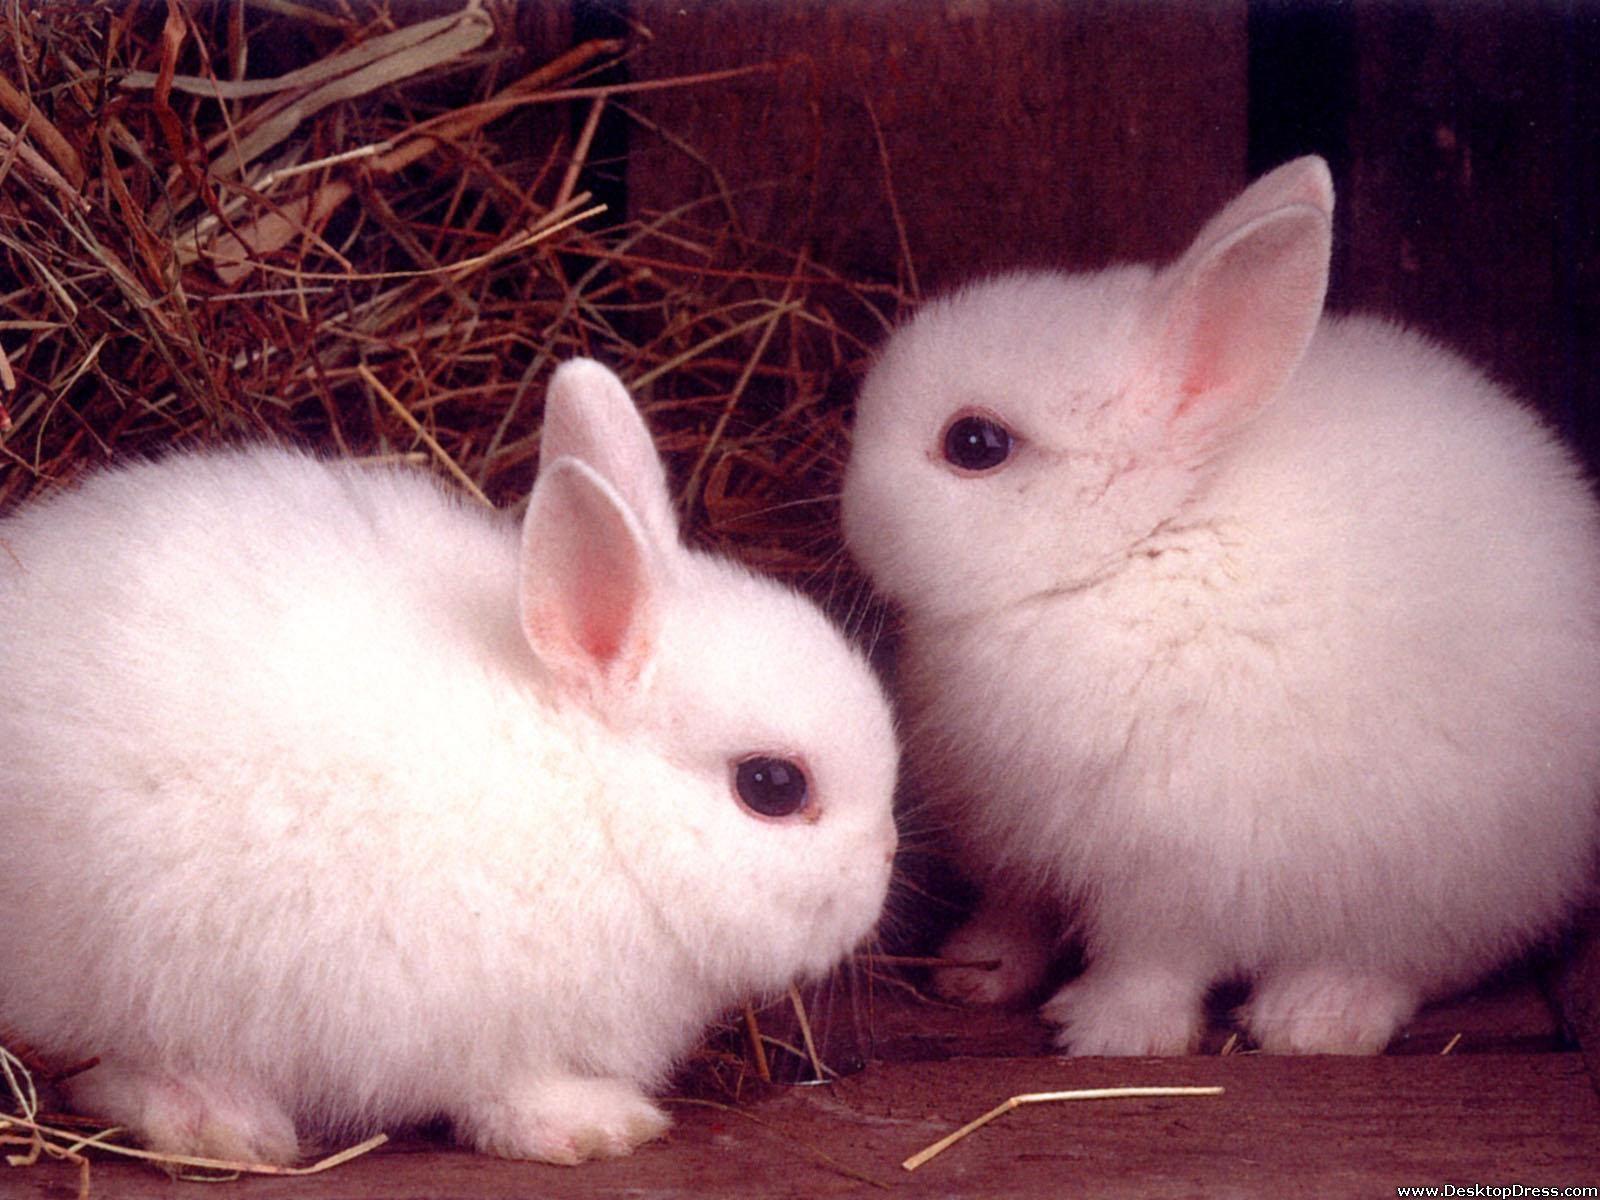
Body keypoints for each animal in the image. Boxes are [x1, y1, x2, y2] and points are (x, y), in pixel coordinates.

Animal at [0, 357, 899, 1164]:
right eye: (772, 786)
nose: (887, 861)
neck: (593, 795)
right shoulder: (482, 1026)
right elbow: (508, 1093)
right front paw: (597, 1127)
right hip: (134, 964)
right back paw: (221, 1126)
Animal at [840, 155, 1600, 1057]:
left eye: (975, 444)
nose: (848, 505)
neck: (1139, 546)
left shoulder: (1177, 870)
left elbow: (1151, 962)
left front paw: (1105, 1033)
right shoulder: (1022, 850)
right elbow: (1017, 915)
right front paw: (973, 974)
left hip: (1445, 879)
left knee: (1413, 960)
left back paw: (1315, 1016)